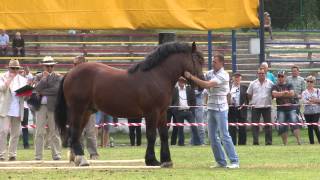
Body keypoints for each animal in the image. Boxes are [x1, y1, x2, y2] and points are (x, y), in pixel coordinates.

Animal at [53, 41, 204, 167]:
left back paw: (77, 159)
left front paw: (166, 160)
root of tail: (70, 73)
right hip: (78, 109)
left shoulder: (162, 112)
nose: (201, 84)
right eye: (199, 60)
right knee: (74, 132)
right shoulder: (151, 112)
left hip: (86, 112)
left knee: (76, 133)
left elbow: (163, 135)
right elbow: (151, 135)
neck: (157, 76)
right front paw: (151, 160)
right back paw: (82, 159)